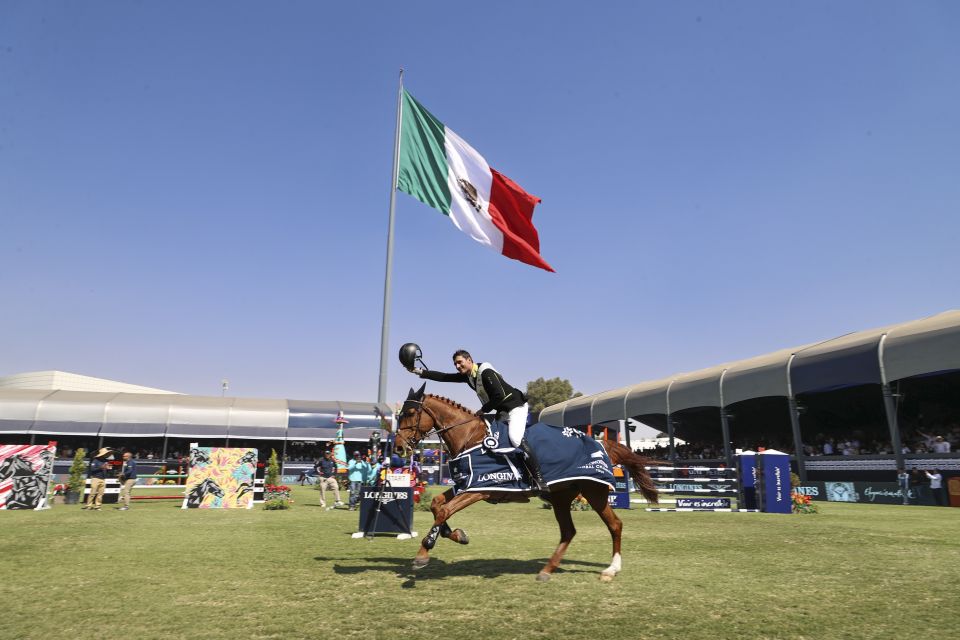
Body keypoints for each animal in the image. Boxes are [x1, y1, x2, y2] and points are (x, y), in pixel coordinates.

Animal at [392, 388, 660, 584]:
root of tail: (602, 444)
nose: (398, 448)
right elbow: (437, 505)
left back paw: (611, 570)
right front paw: (457, 535)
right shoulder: (464, 485)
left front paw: (423, 553)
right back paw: (547, 570)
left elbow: (445, 510)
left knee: (614, 525)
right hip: (562, 498)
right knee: (568, 532)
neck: (470, 436)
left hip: (594, 493)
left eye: (411, 412)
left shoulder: (479, 488)